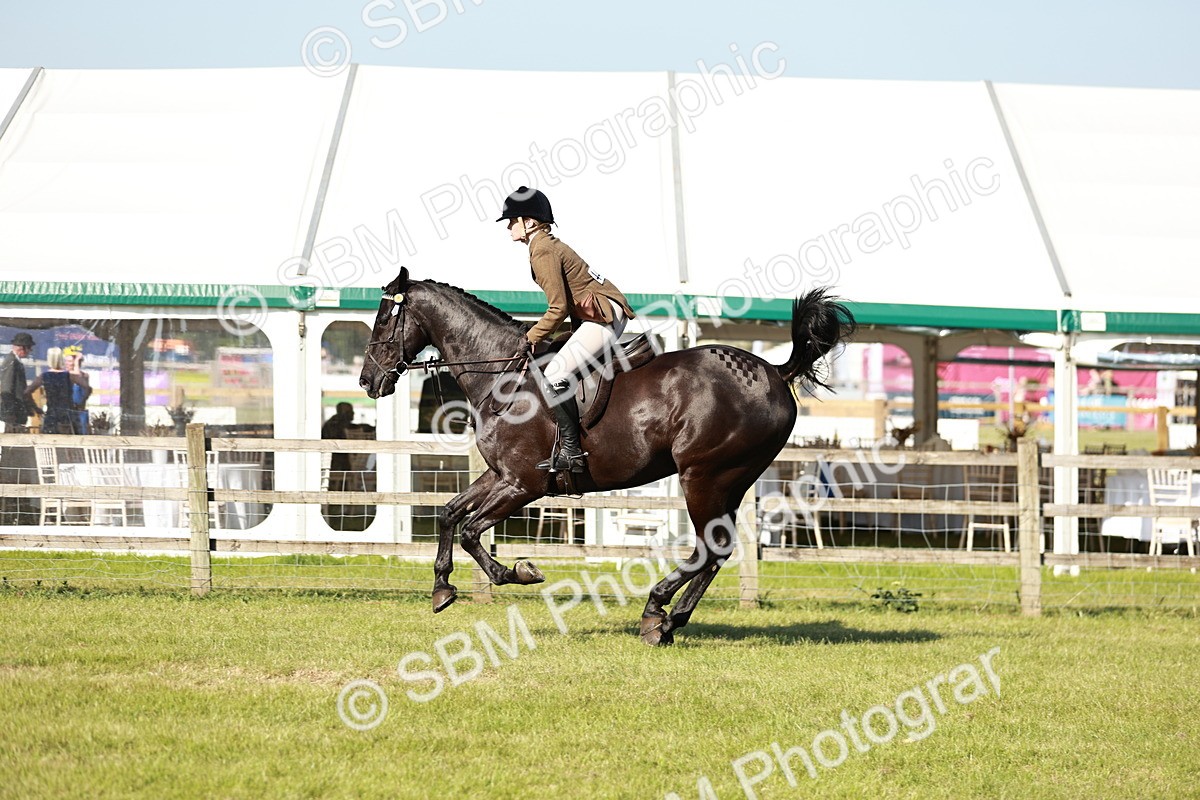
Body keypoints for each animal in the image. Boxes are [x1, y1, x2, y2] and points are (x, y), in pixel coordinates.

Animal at [359, 267, 855, 645]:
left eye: (383, 321)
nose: (367, 381)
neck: (502, 374)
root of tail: (774, 371)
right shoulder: (500, 475)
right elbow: (449, 514)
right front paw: (442, 587)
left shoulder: (523, 484)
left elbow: (471, 531)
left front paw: (519, 571)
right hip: (728, 481)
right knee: (715, 552)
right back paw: (668, 622)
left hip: (704, 476)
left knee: (710, 546)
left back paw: (656, 611)